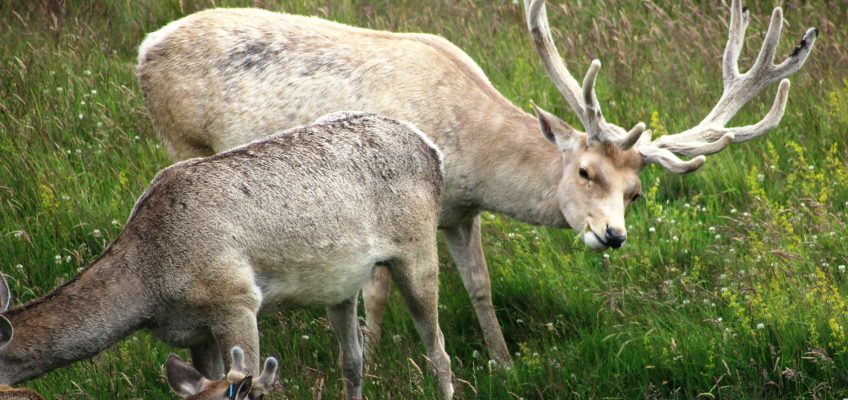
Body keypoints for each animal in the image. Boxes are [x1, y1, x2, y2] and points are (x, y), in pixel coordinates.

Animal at [0, 113, 454, 400]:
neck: (150, 285)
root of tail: (433, 150)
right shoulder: (196, 330)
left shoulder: (235, 300)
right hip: (342, 287)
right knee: (353, 361)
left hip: (417, 250)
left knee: (439, 351)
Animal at [136, 0, 820, 366]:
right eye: (585, 170)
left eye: (637, 192)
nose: (613, 236)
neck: (465, 154)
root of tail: (143, 47)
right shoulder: (389, 206)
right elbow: (380, 294)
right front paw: (372, 355)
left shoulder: (462, 214)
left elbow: (481, 287)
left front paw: (504, 362)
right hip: (180, 136)